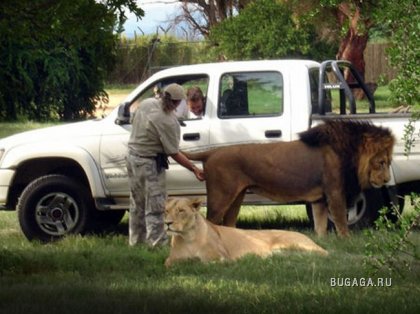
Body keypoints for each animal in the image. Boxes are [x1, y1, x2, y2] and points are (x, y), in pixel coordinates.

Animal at [165, 197, 328, 266]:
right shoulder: (171, 259)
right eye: (166, 210)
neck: (188, 236)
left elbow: (204, 262)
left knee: (325, 253)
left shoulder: (221, 257)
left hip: (292, 243)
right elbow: (169, 263)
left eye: (181, 210)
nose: (167, 223)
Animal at [183, 119, 394, 237]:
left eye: (389, 162)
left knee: (229, 224)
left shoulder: (319, 199)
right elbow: (342, 223)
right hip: (221, 196)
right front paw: (345, 242)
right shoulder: (334, 192)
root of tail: (211, 152)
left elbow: (320, 227)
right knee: (209, 222)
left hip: (237, 196)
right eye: (381, 162)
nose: (385, 180)